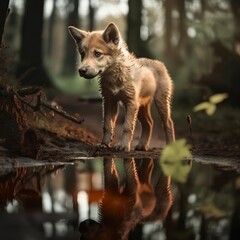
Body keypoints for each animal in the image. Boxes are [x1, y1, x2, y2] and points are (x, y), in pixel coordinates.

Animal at [68, 22, 175, 150]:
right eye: (83, 54)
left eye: (97, 54)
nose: (81, 71)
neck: (114, 78)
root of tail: (159, 62)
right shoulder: (109, 101)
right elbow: (107, 125)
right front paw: (104, 144)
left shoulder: (130, 102)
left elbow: (127, 127)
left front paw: (123, 146)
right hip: (140, 106)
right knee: (149, 123)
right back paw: (142, 145)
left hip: (159, 102)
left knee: (168, 123)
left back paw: (170, 146)